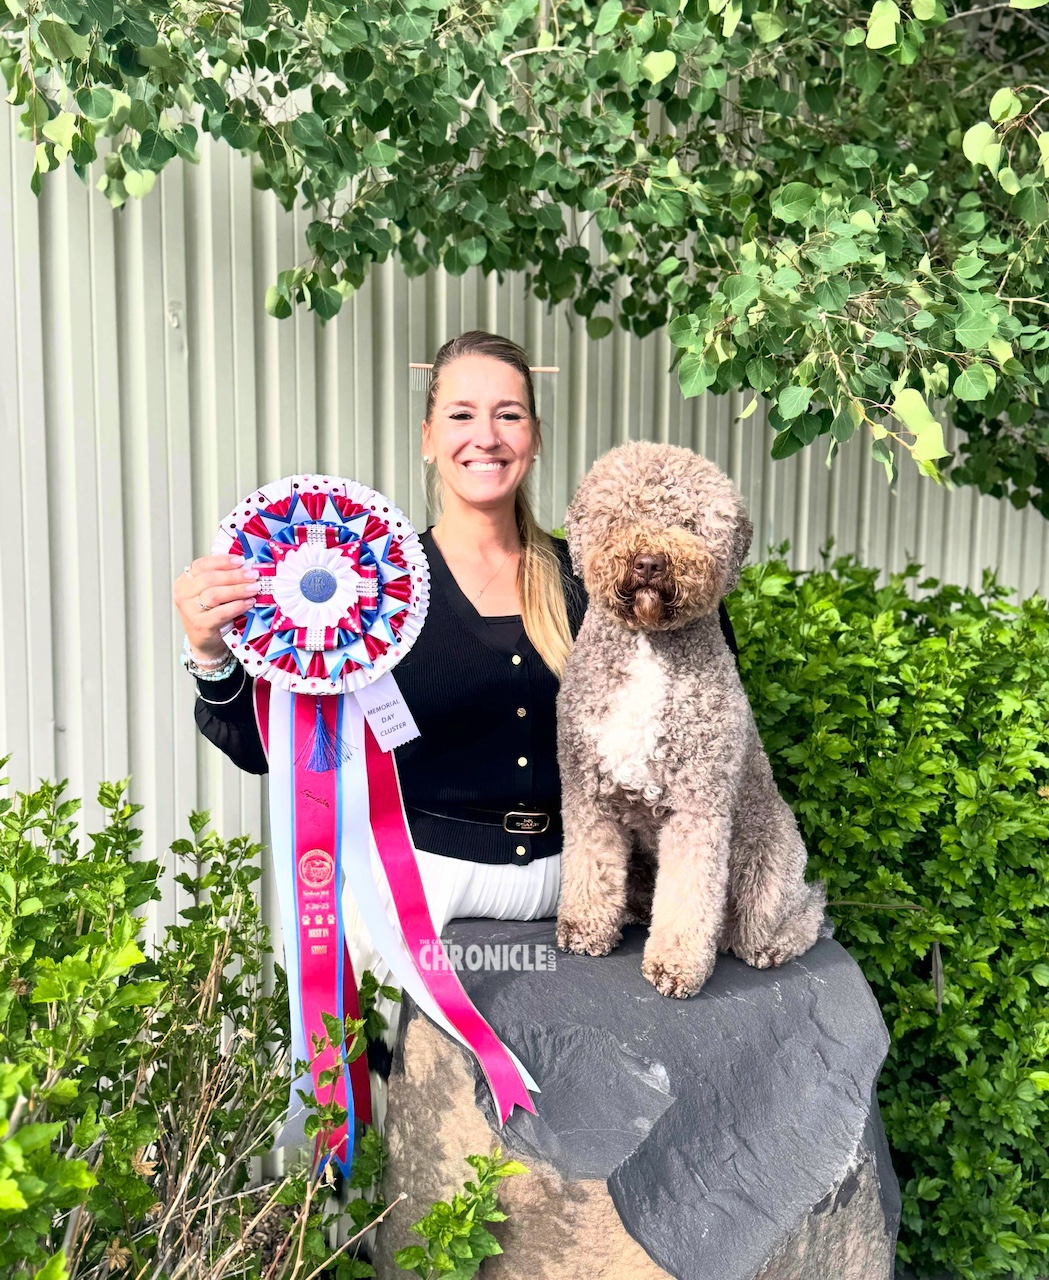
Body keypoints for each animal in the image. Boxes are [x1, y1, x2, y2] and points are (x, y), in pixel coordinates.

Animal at [555, 441, 826, 998]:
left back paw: (771, 943)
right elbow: (589, 865)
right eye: (622, 516)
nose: (649, 562)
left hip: (767, 861)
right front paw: (585, 927)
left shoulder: (698, 808)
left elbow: (689, 894)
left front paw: (676, 965)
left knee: (797, 915)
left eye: (689, 523)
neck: (648, 643)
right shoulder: (589, 793)